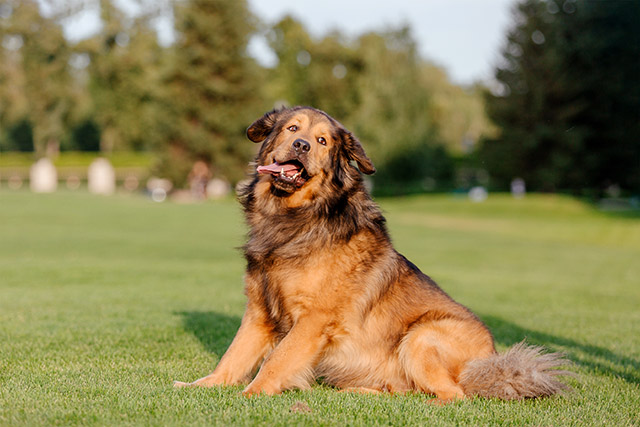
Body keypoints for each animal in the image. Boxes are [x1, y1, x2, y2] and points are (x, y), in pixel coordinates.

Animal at [174, 106, 568, 402]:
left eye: (322, 141)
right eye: (291, 128)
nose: (301, 145)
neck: (298, 218)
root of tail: (492, 361)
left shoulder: (313, 319)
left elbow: (277, 360)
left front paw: (250, 395)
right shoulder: (259, 311)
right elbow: (232, 357)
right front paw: (200, 386)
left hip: (421, 336)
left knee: (453, 396)